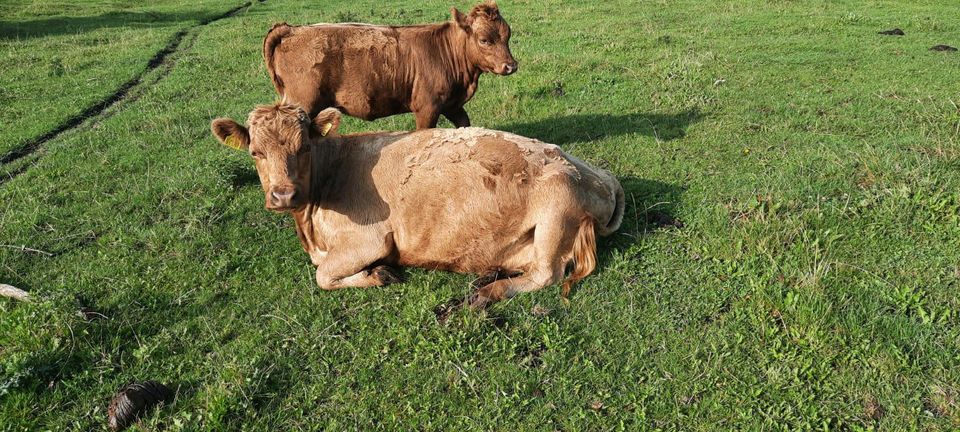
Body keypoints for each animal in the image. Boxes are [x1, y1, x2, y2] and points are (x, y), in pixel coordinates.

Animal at [211, 104, 628, 308]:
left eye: (304, 147)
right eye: (255, 152)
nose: (283, 195)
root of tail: (601, 176)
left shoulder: (371, 240)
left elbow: (323, 276)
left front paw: (379, 274)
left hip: (555, 213)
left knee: (547, 275)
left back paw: (486, 293)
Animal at [262, 0, 516, 129]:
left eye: (508, 35)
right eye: (484, 40)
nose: (511, 66)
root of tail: (292, 29)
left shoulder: (452, 105)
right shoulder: (427, 107)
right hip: (302, 102)